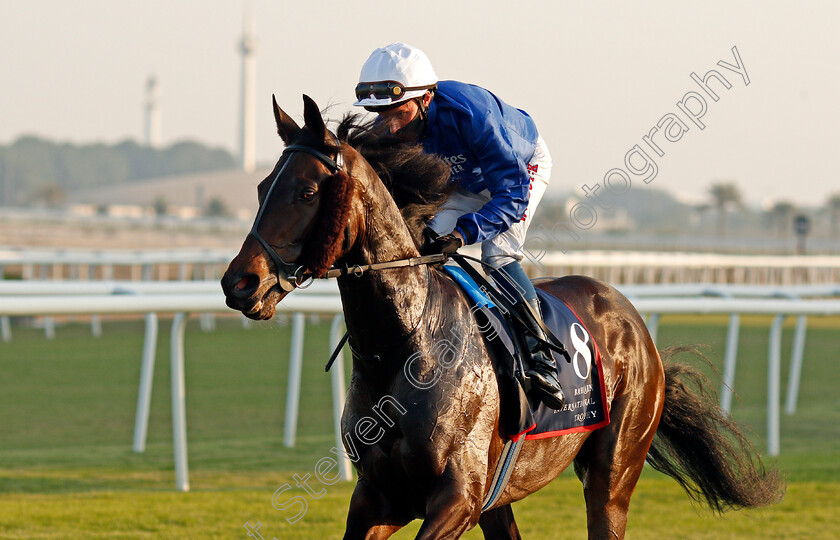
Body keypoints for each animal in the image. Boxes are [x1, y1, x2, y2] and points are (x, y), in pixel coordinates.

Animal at [220, 95, 784, 536]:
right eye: (260, 188)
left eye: (307, 192)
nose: (238, 283)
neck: (405, 345)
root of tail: (633, 322)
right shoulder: (379, 498)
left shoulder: (457, 498)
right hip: (503, 497)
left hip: (613, 474)